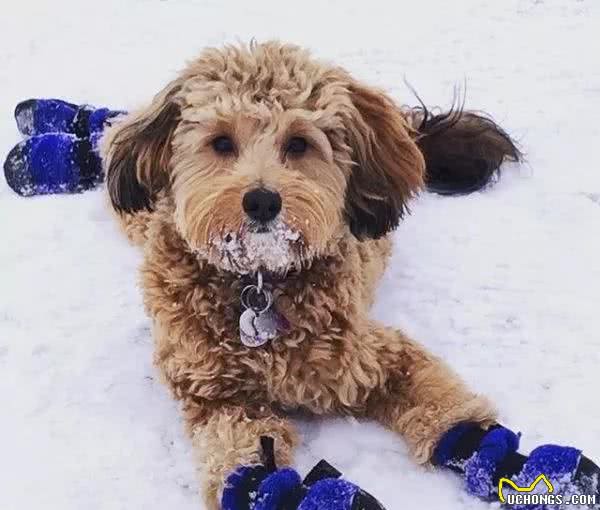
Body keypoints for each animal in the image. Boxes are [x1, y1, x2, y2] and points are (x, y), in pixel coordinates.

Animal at [99, 41, 520, 508]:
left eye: (299, 143)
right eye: (221, 142)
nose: (262, 201)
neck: (259, 282)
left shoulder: (372, 356)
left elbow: (437, 397)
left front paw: (489, 452)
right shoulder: (220, 398)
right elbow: (244, 456)